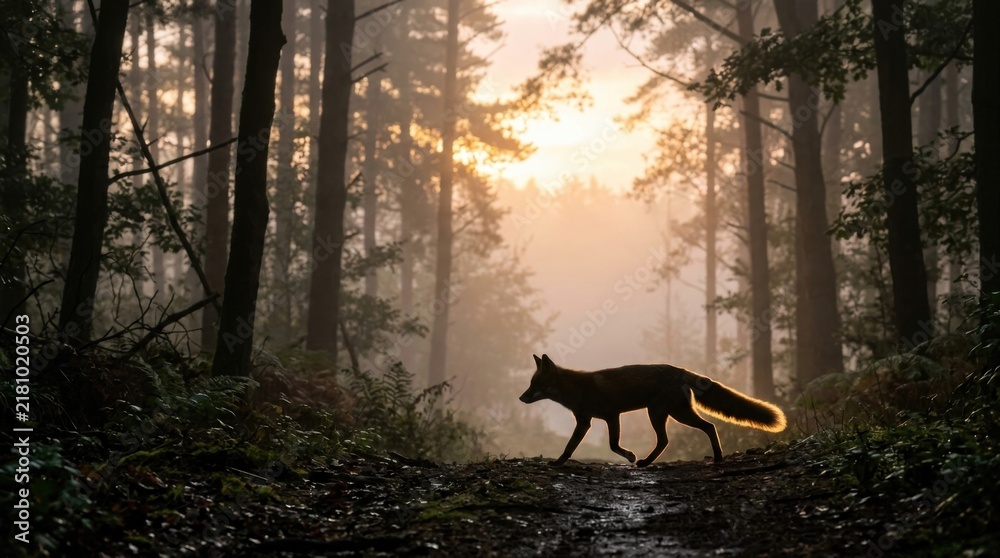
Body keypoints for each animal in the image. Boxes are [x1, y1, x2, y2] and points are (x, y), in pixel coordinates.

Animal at [519, 354, 786, 467]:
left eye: (534, 384)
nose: (521, 398)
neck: (578, 390)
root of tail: (680, 370)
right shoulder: (587, 420)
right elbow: (571, 447)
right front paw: (558, 462)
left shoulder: (610, 416)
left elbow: (611, 446)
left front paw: (630, 456)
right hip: (668, 414)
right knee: (676, 437)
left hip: (663, 414)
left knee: (704, 428)